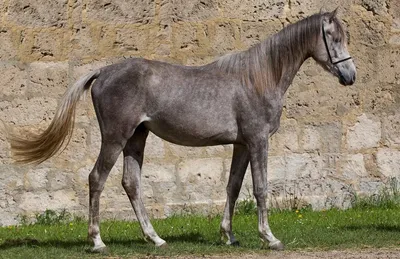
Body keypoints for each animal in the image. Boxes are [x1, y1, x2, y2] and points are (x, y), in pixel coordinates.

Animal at [7, 10, 356, 254]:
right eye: (333, 37)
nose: (350, 75)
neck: (258, 77)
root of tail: (103, 72)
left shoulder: (242, 144)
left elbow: (233, 187)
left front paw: (228, 235)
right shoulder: (258, 141)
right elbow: (260, 188)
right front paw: (269, 238)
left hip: (137, 138)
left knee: (131, 184)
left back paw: (155, 239)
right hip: (116, 138)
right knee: (97, 179)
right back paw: (97, 241)